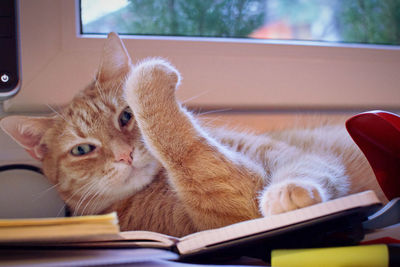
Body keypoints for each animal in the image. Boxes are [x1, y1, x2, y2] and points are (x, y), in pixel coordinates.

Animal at [0, 33, 388, 237]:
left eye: (126, 116)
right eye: (82, 150)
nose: (125, 155)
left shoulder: (291, 156)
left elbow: (307, 167)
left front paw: (286, 192)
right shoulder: (226, 211)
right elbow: (187, 150)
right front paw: (149, 76)